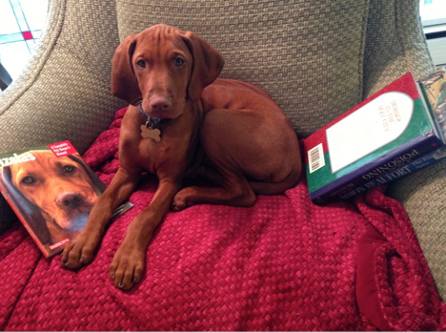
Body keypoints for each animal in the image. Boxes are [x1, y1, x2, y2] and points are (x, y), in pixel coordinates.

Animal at [61, 24, 302, 288]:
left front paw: (127, 258)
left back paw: (188, 192)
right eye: (141, 63)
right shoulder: (127, 172)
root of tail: (296, 157)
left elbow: (145, 216)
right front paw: (82, 241)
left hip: (214, 121)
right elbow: (102, 202)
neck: (155, 124)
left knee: (244, 192)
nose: (160, 103)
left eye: (179, 61)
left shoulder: (170, 181)